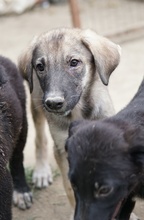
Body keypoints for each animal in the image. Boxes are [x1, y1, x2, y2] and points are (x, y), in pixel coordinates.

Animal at [18, 27, 121, 208]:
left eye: (74, 62)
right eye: (40, 66)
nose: (53, 103)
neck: (78, 112)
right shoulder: (62, 149)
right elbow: (71, 189)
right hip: (36, 103)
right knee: (39, 137)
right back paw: (41, 171)